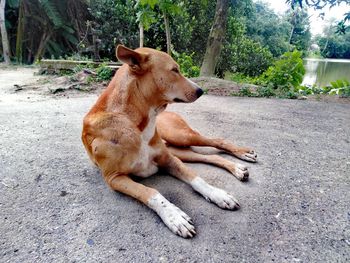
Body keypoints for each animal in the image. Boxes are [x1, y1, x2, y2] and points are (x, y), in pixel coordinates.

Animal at [82, 46, 258, 239]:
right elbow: (151, 192)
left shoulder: (169, 160)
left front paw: (218, 194)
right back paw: (238, 168)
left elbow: (196, 178)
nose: (201, 91)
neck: (134, 121)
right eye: (174, 70)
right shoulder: (114, 178)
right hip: (178, 149)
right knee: (207, 157)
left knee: (217, 141)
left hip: (181, 136)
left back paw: (242, 155)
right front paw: (174, 216)